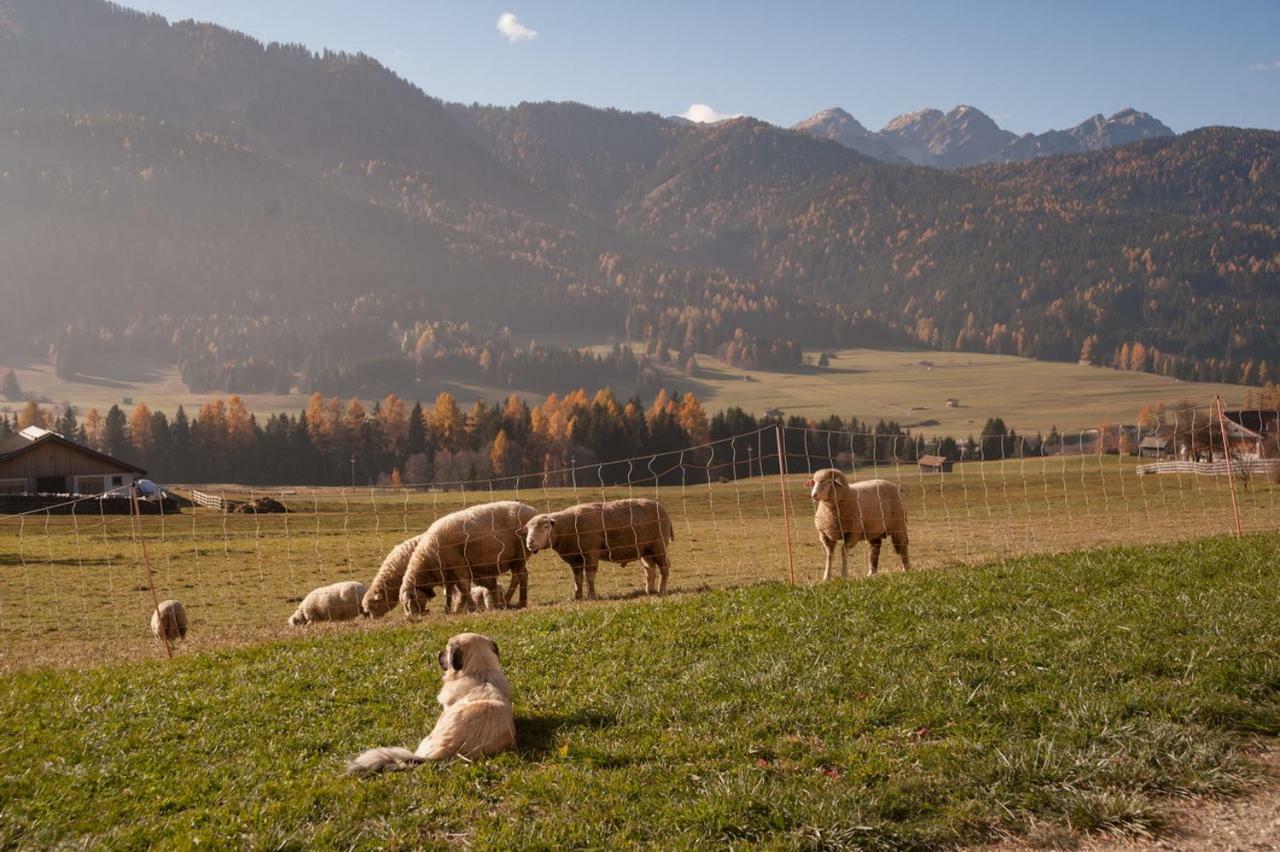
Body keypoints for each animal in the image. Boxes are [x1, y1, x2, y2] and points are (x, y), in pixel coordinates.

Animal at [399, 498, 540, 611]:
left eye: (409, 603)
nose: (412, 619)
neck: (428, 559)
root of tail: (533, 511)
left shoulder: (458, 564)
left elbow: (464, 587)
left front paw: (471, 607)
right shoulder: (448, 573)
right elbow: (449, 592)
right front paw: (448, 609)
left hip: (520, 553)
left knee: (517, 577)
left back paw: (507, 600)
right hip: (518, 557)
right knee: (524, 575)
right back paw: (522, 602)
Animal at [519, 498, 680, 596]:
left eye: (545, 527)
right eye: (528, 529)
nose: (530, 542)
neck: (569, 527)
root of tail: (661, 508)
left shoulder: (591, 553)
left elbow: (590, 576)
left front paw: (592, 595)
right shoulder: (575, 559)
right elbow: (577, 578)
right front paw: (578, 596)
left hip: (658, 546)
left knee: (664, 567)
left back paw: (660, 591)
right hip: (646, 550)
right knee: (649, 568)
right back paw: (649, 590)